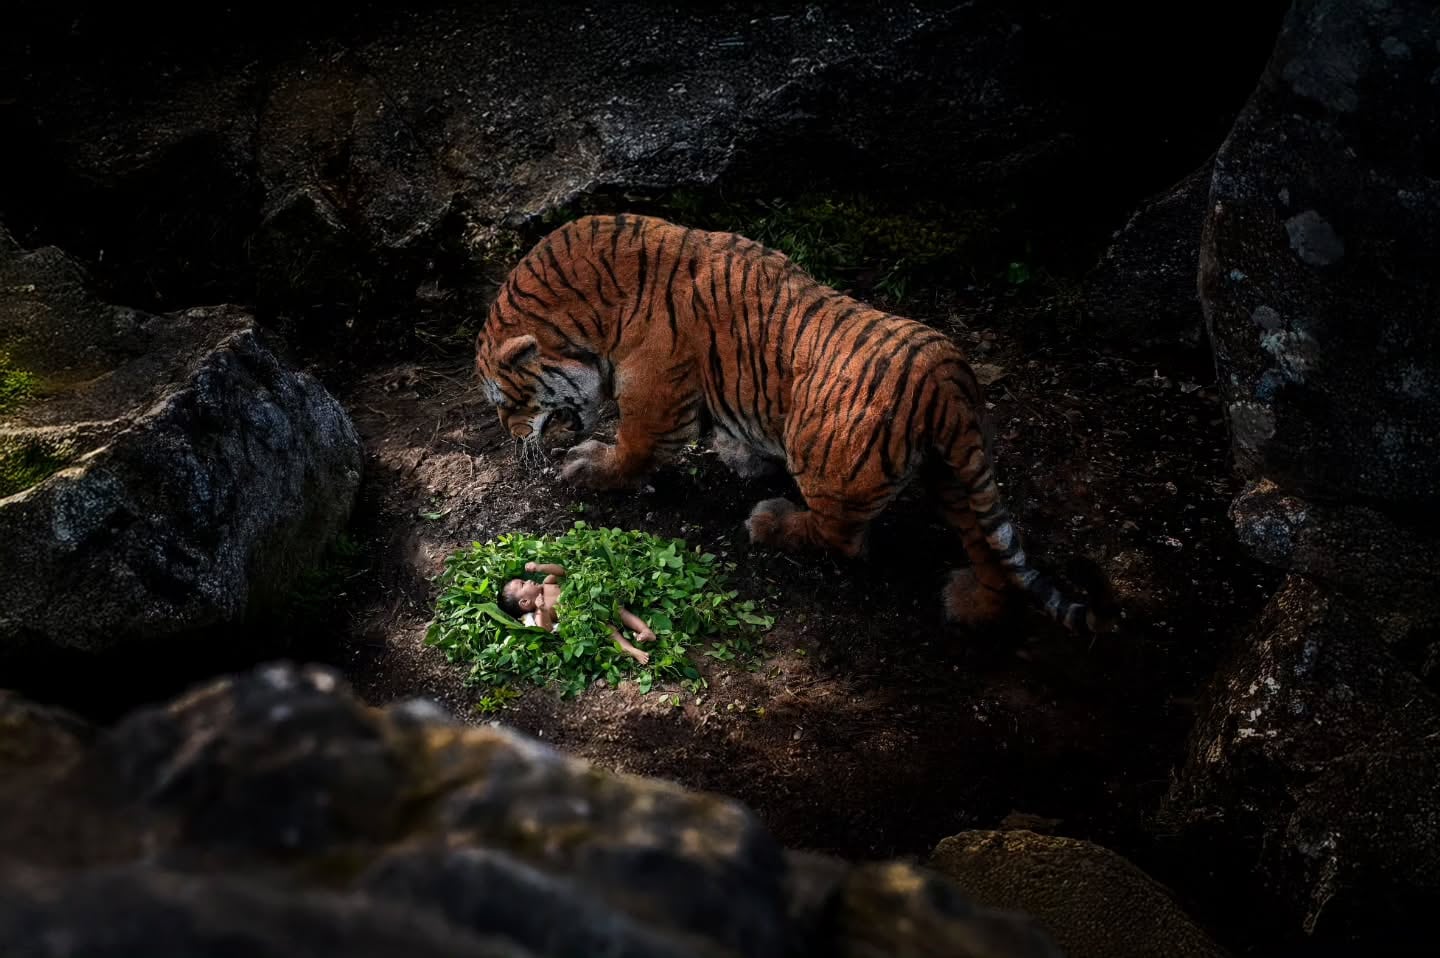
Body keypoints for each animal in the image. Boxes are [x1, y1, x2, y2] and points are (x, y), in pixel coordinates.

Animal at [474, 212, 1116, 635]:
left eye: (506, 402)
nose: (507, 437)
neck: (594, 309)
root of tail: (947, 383)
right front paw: (742, 455)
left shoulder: (653, 400)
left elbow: (632, 451)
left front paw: (587, 467)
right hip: (956, 471)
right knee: (990, 548)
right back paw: (968, 600)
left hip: (825, 452)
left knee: (844, 538)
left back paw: (771, 521)